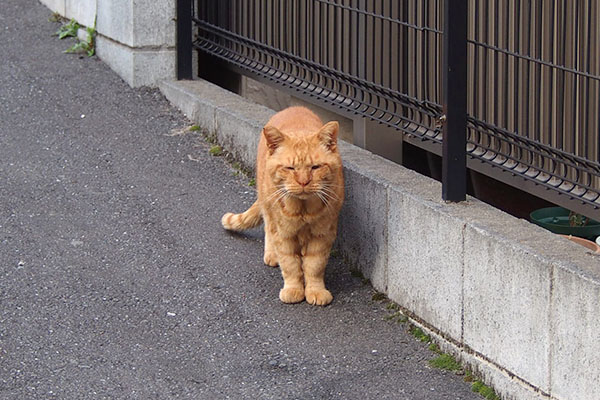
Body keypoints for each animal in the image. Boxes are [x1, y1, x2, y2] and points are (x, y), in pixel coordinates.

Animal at [221, 106, 344, 306]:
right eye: (290, 168)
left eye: (315, 167)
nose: (303, 182)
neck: (303, 209)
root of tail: (293, 107)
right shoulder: (283, 234)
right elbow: (290, 265)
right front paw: (294, 290)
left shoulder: (323, 234)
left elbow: (314, 266)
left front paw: (315, 290)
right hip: (267, 204)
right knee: (268, 228)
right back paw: (272, 255)